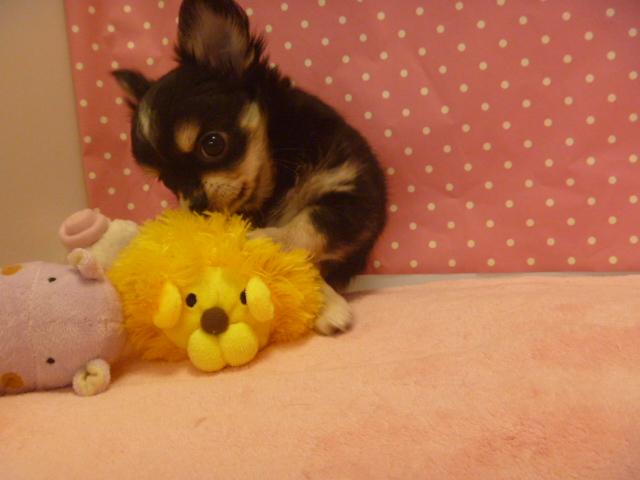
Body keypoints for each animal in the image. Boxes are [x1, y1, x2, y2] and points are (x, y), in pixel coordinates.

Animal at [112, 0, 387, 334]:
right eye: (165, 180)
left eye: (213, 144)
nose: (197, 208)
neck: (275, 179)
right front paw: (325, 302)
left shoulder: (353, 191)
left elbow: (307, 223)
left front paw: (265, 241)